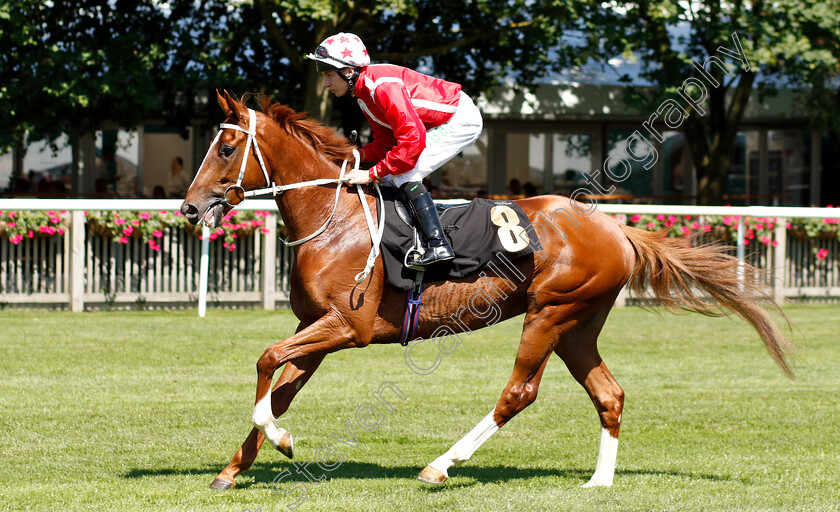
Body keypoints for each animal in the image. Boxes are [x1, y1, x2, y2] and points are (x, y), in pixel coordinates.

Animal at [180, 93, 792, 492]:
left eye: (227, 148)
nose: (188, 206)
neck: (335, 221)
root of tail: (615, 228)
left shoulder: (348, 328)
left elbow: (267, 360)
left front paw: (281, 442)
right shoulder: (316, 330)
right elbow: (278, 388)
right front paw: (235, 469)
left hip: (549, 313)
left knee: (519, 392)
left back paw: (440, 465)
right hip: (579, 324)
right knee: (609, 394)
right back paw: (599, 482)